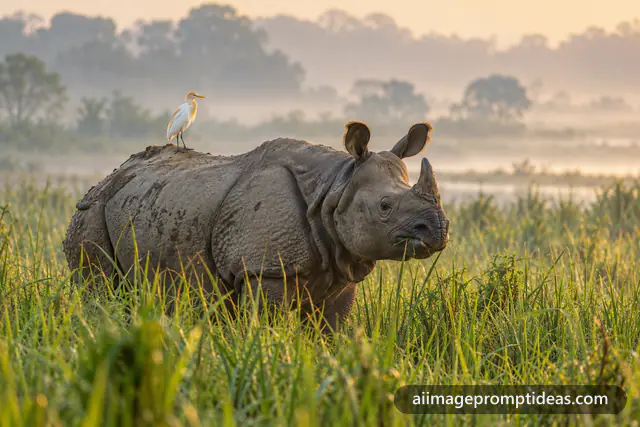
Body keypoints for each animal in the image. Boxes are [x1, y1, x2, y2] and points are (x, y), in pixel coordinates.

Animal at [63, 121, 450, 331]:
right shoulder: (264, 268)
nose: (438, 231)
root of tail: (103, 179)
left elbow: (330, 331)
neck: (334, 188)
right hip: (91, 212)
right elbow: (267, 326)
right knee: (99, 289)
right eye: (385, 206)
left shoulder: (342, 266)